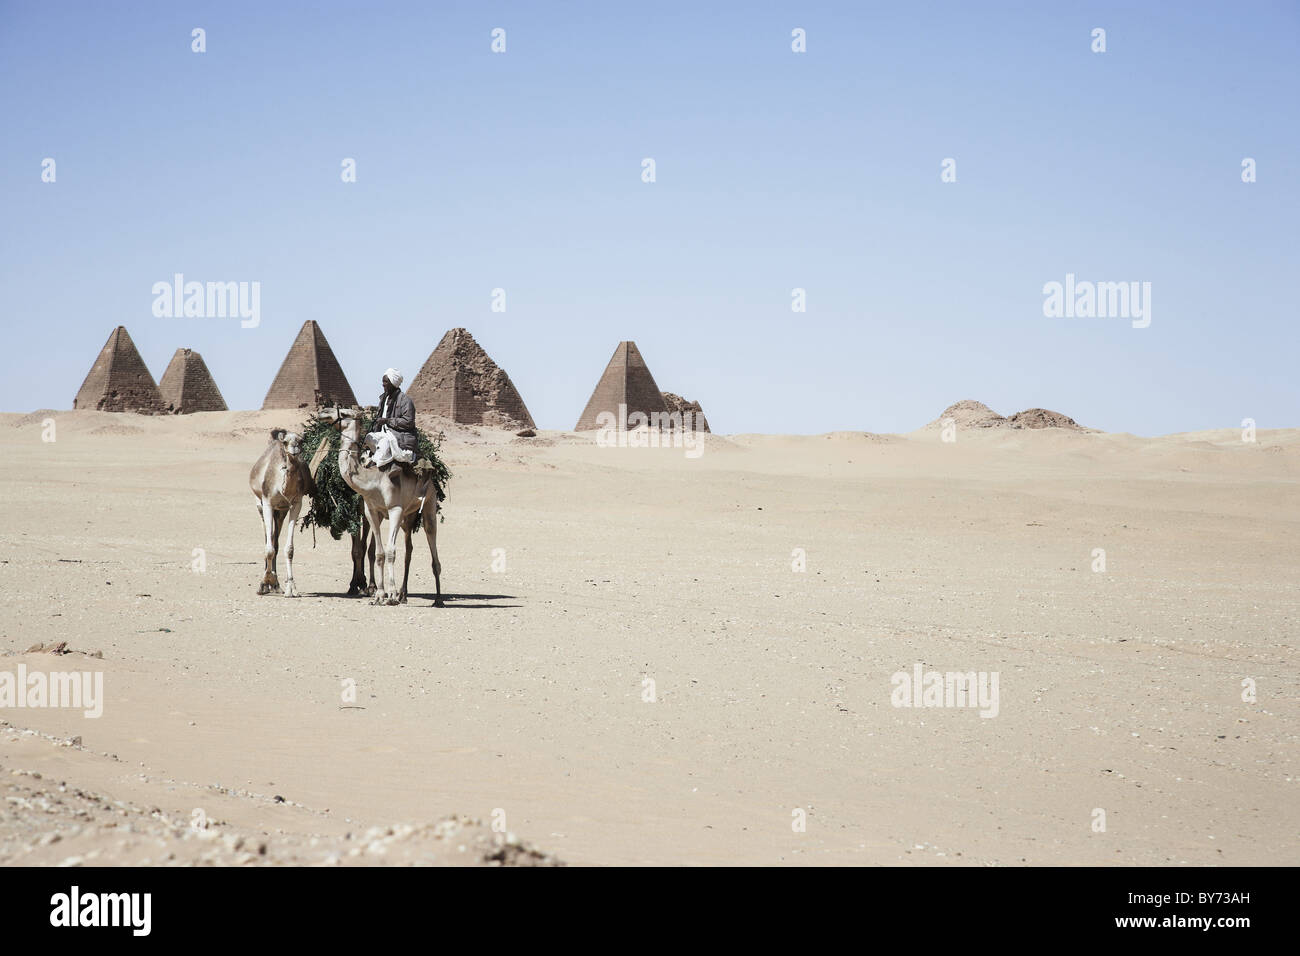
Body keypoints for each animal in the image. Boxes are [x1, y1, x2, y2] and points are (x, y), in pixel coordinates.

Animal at [249, 429, 316, 597]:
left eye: (301, 441)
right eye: (285, 442)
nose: (294, 448)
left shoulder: (295, 504)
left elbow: (288, 549)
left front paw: (290, 587)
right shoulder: (267, 502)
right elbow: (268, 548)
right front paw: (265, 582)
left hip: (280, 511)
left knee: (275, 541)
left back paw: (276, 584)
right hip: (260, 504)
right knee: (267, 539)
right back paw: (267, 584)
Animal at [319, 407, 443, 606]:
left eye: (345, 414)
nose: (323, 412)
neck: (373, 480)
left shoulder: (395, 509)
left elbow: (391, 551)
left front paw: (390, 595)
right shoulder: (372, 511)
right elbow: (378, 553)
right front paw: (379, 595)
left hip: (429, 502)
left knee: (431, 535)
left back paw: (438, 598)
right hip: (408, 515)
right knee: (409, 548)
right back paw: (403, 595)